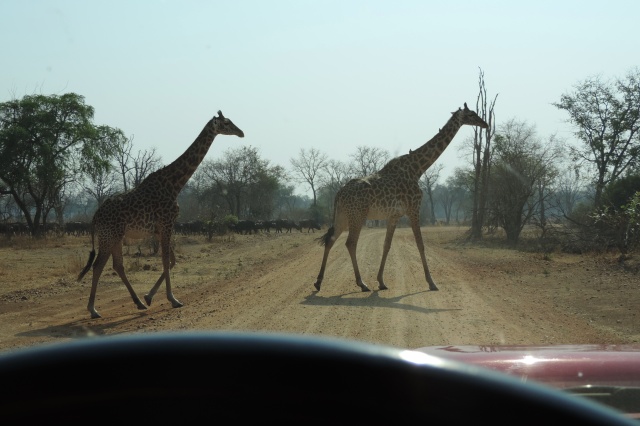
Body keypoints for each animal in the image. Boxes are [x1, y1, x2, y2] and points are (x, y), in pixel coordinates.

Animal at [75, 111, 245, 318]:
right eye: (226, 123)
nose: (241, 132)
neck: (174, 184)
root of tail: (95, 217)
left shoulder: (159, 229)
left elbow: (172, 260)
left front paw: (149, 297)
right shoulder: (167, 223)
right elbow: (165, 260)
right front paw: (173, 299)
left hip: (116, 236)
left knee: (118, 265)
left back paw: (139, 302)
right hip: (109, 236)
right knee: (98, 265)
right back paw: (93, 309)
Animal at [312, 103, 488, 292]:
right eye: (471, 114)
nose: (485, 124)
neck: (417, 169)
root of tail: (339, 193)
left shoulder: (394, 215)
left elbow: (387, 245)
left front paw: (381, 281)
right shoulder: (414, 209)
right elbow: (420, 244)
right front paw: (431, 282)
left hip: (343, 215)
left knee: (330, 240)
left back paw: (319, 282)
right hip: (357, 215)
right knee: (350, 243)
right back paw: (361, 283)